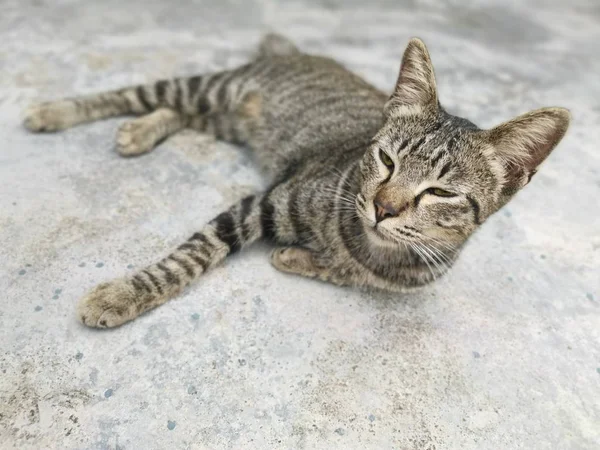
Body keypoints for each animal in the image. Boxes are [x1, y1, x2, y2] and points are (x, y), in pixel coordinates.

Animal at [22, 34, 568, 326]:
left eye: (440, 192)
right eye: (386, 160)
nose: (383, 207)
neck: (374, 247)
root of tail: (296, 50)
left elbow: (345, 272)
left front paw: (298, 258)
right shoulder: (265, 200)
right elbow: (192, 254)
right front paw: (124, 294)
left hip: (232, 120)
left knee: (184, 115)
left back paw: (141, 130)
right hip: (210, 88)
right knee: (134, 94)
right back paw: (55, 112)